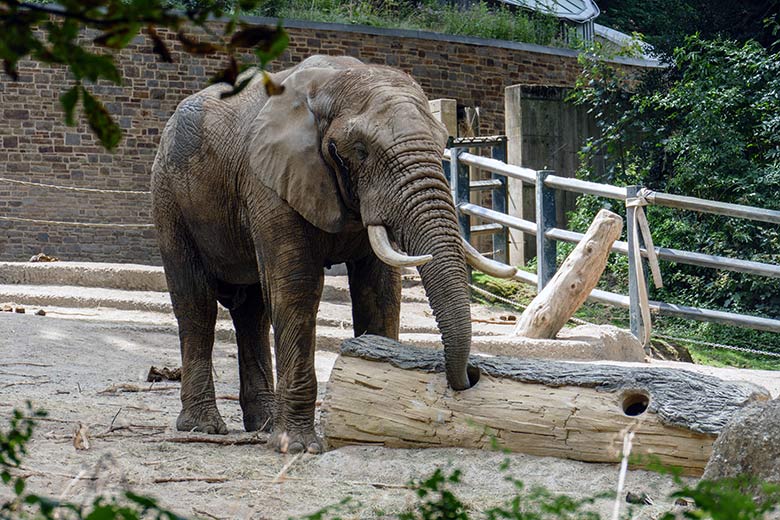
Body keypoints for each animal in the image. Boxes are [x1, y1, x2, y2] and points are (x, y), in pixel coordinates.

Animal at [151, 54, 516, 452]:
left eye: (441, 144)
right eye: (361, 151)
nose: (471, 376)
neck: (331, 82)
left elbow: (380, 291)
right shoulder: (269, 181)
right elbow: (297, 288)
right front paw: (298, 447)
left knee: (253, 311)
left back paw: (262, 424)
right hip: (169, 198)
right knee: (196, 304)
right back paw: (203, 427)